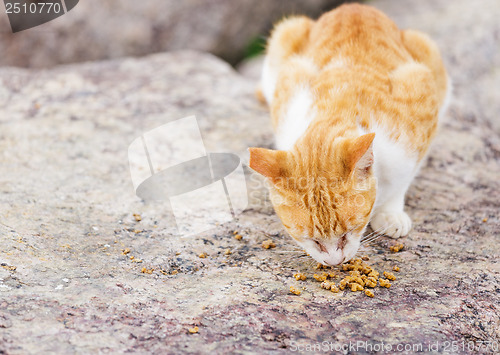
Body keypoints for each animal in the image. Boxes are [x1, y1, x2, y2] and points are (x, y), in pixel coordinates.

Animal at [249, 2, 450, 264]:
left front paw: (390, 213)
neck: (335, 113)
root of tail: (354, 6)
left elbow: (403, 180)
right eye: (313, 240)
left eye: (348, 233)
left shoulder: (419, 111)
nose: (334, 262)